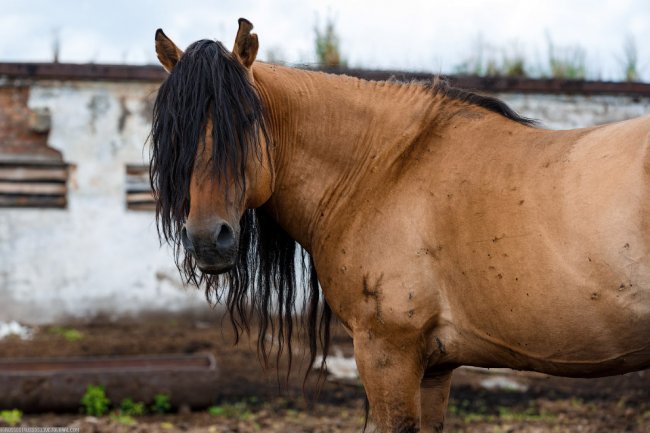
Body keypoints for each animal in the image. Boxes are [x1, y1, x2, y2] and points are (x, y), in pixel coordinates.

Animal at [149, 17, 648, 432]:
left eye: (247, 122)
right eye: (175, 132)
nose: (207, 240)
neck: (386, 170)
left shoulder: (387, 353)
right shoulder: (435, 367)